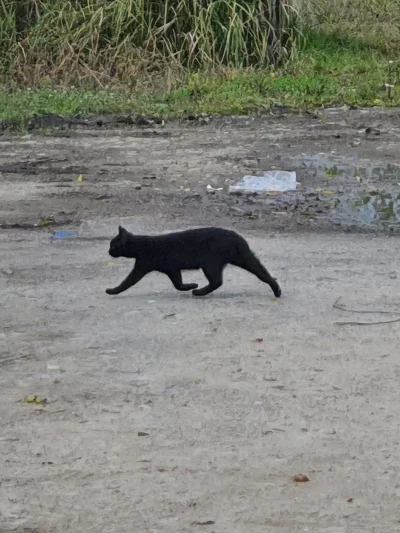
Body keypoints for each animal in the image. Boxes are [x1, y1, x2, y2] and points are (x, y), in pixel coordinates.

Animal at [106, 225, 282, 298]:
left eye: (113, 245)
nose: (108, 251)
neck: (141, 245)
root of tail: (237, 238)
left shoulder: (141, 266)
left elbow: (126, 282)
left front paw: (112, 290)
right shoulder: (172, 269)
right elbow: (178, 283)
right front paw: (190, 285)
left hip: (210, 264)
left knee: (217, 281)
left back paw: (199, 292)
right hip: (244, 258)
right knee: (263, 272)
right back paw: (277, 290)